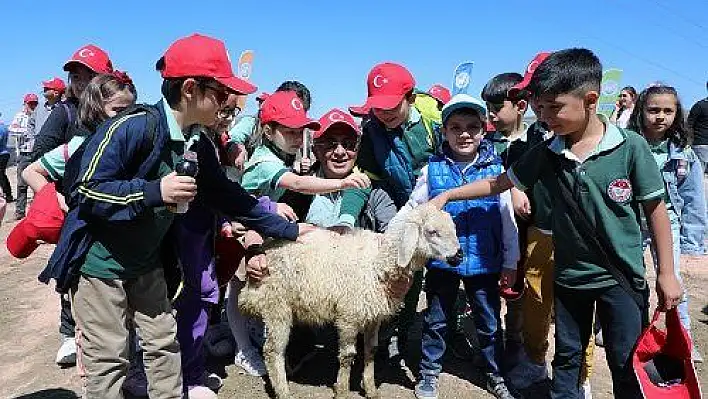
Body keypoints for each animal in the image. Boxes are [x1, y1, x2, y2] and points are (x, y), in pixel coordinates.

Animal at [238, 205, 462, 399]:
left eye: (453, 229)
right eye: (432, 232)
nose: (459, 255)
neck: (377, 263)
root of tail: (265, 246)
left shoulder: (373, 316)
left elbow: (371, 351)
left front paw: (370, 389)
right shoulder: (348, 316)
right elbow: (347, 356)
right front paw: (343, 390)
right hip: (276, 304)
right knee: (272, 350)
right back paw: (283, 391)